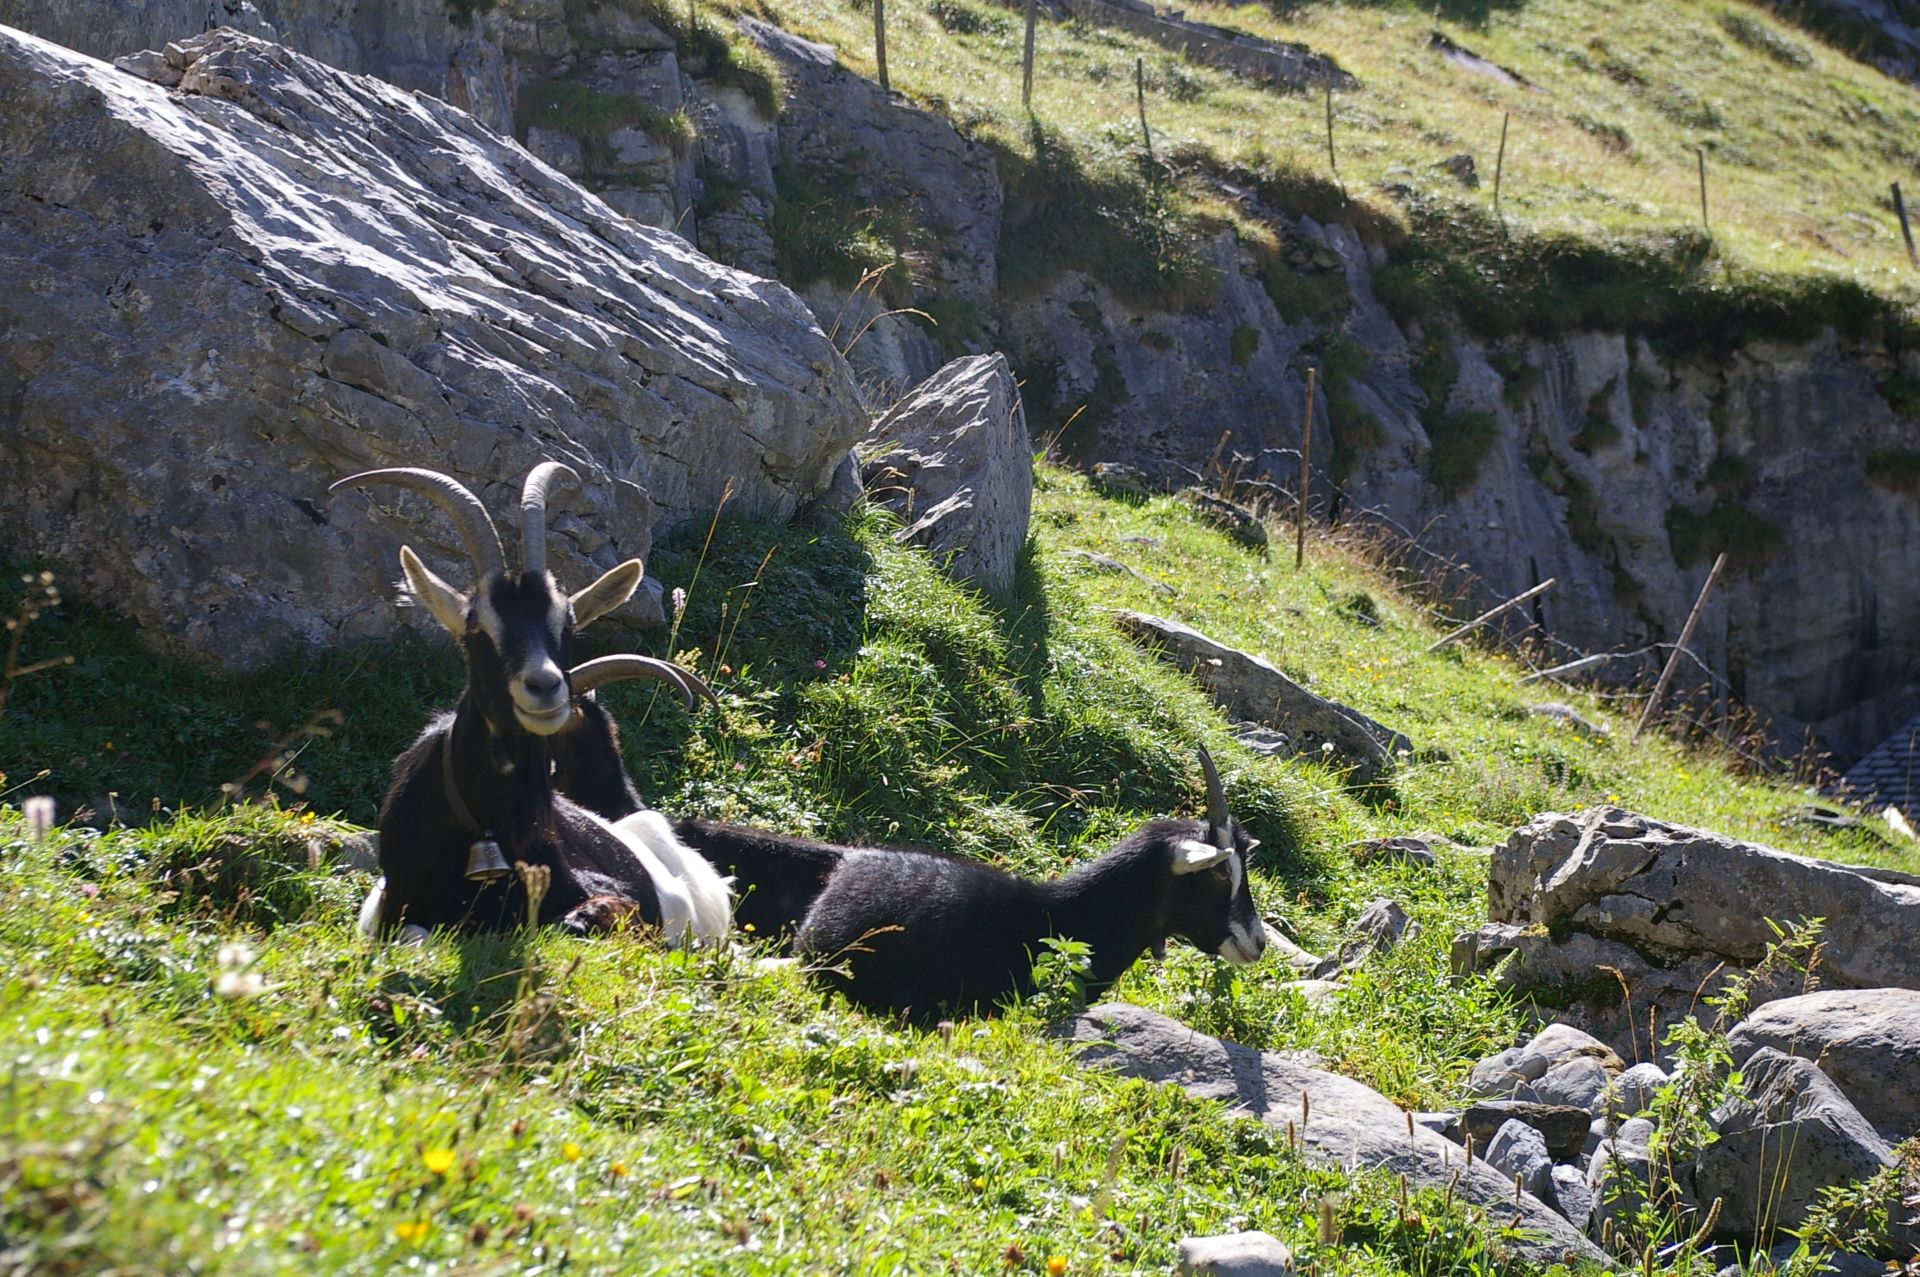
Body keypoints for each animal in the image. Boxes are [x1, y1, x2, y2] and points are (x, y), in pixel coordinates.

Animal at [341, 462, 729, 940]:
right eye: (476, 629)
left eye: (568, 623)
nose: (545, 686)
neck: (485, 827)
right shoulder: (391, 911)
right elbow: (413, 934)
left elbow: (580, 917)